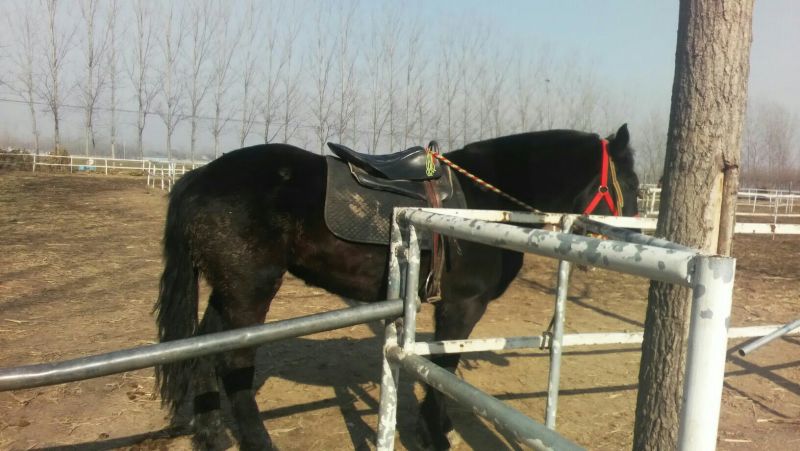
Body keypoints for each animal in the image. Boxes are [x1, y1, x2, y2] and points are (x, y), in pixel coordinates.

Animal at [154, 124, 640, 450]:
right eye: (632, 182)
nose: (633, 234)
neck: (484, 204)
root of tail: (196, 179)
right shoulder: (462, 305)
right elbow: (445, 365)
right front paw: (433, 432)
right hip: (249, 291)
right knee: (233, 362)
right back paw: (256, 441)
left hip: (227, 291)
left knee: (205, 348)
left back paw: (209, 433)